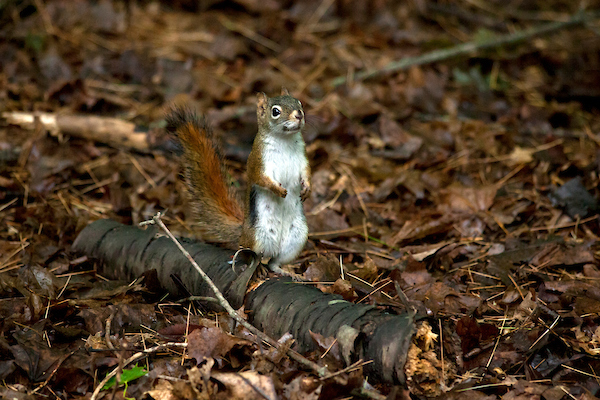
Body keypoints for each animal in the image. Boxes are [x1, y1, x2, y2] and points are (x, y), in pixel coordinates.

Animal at [166, 88, 312, 274]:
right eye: (275, 111)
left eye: (299, 103)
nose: (299, 115)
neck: (284, 140)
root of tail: (243, 232)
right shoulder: (258, 161)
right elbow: (261, 178)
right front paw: (278, 190)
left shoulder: (302, 159)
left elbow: (306, 174)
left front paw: (307, 188)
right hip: (257, 238)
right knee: (251, 255)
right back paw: (258, 267)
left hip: (296, 238)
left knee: (275, 260)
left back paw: (284, 270)